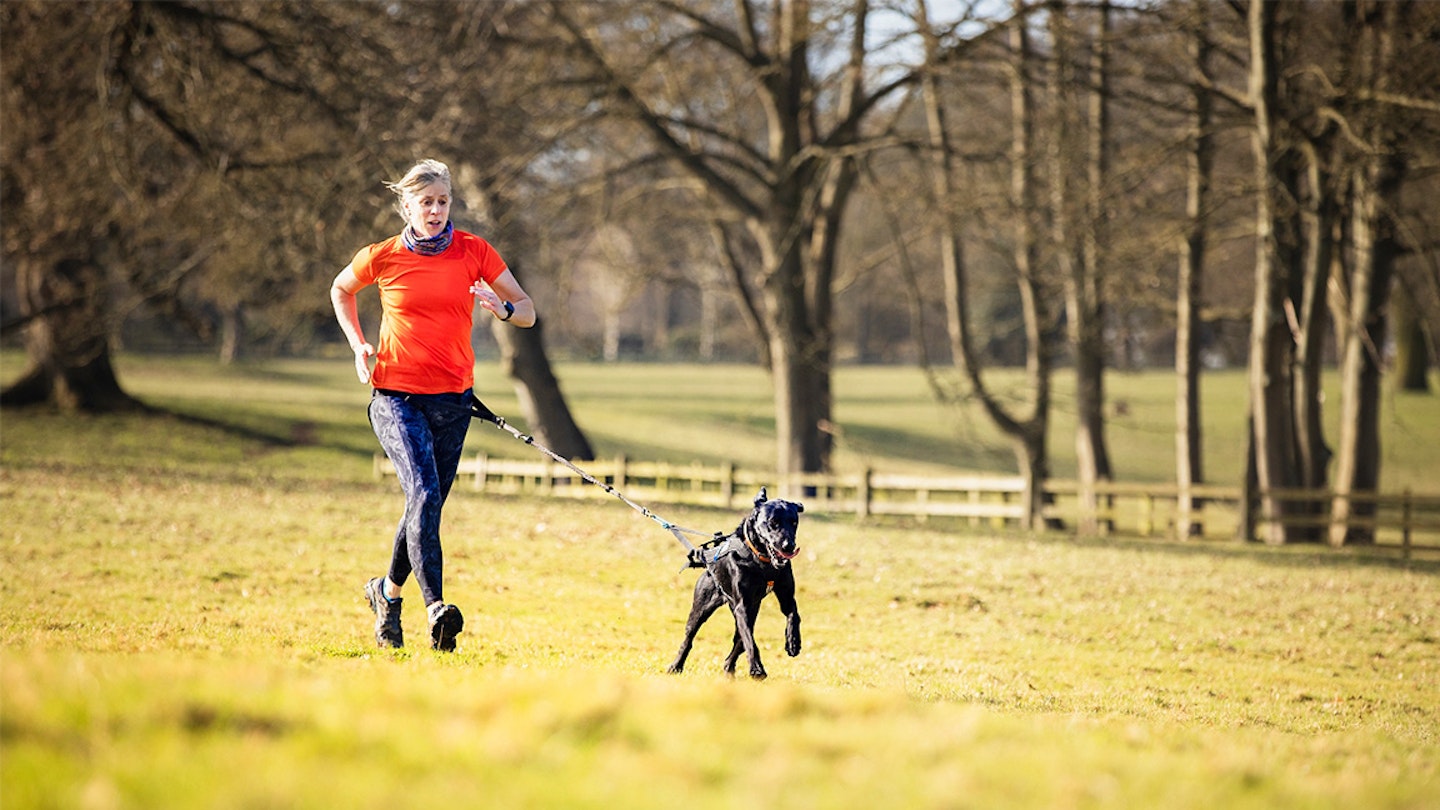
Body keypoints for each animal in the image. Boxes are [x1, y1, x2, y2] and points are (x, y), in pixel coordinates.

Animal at [668, 490, 806, 677]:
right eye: (773, 522)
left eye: (794, 522)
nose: (789, 546)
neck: (762, 561)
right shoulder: (742, 606)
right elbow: (749, 640)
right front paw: (757, 668)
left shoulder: (785, 598)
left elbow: (794, 615)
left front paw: (793, 642)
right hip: (701, 608)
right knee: (689, 638)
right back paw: (676, 666)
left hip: (747, 610)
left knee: (739, 640)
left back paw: (729, 667)